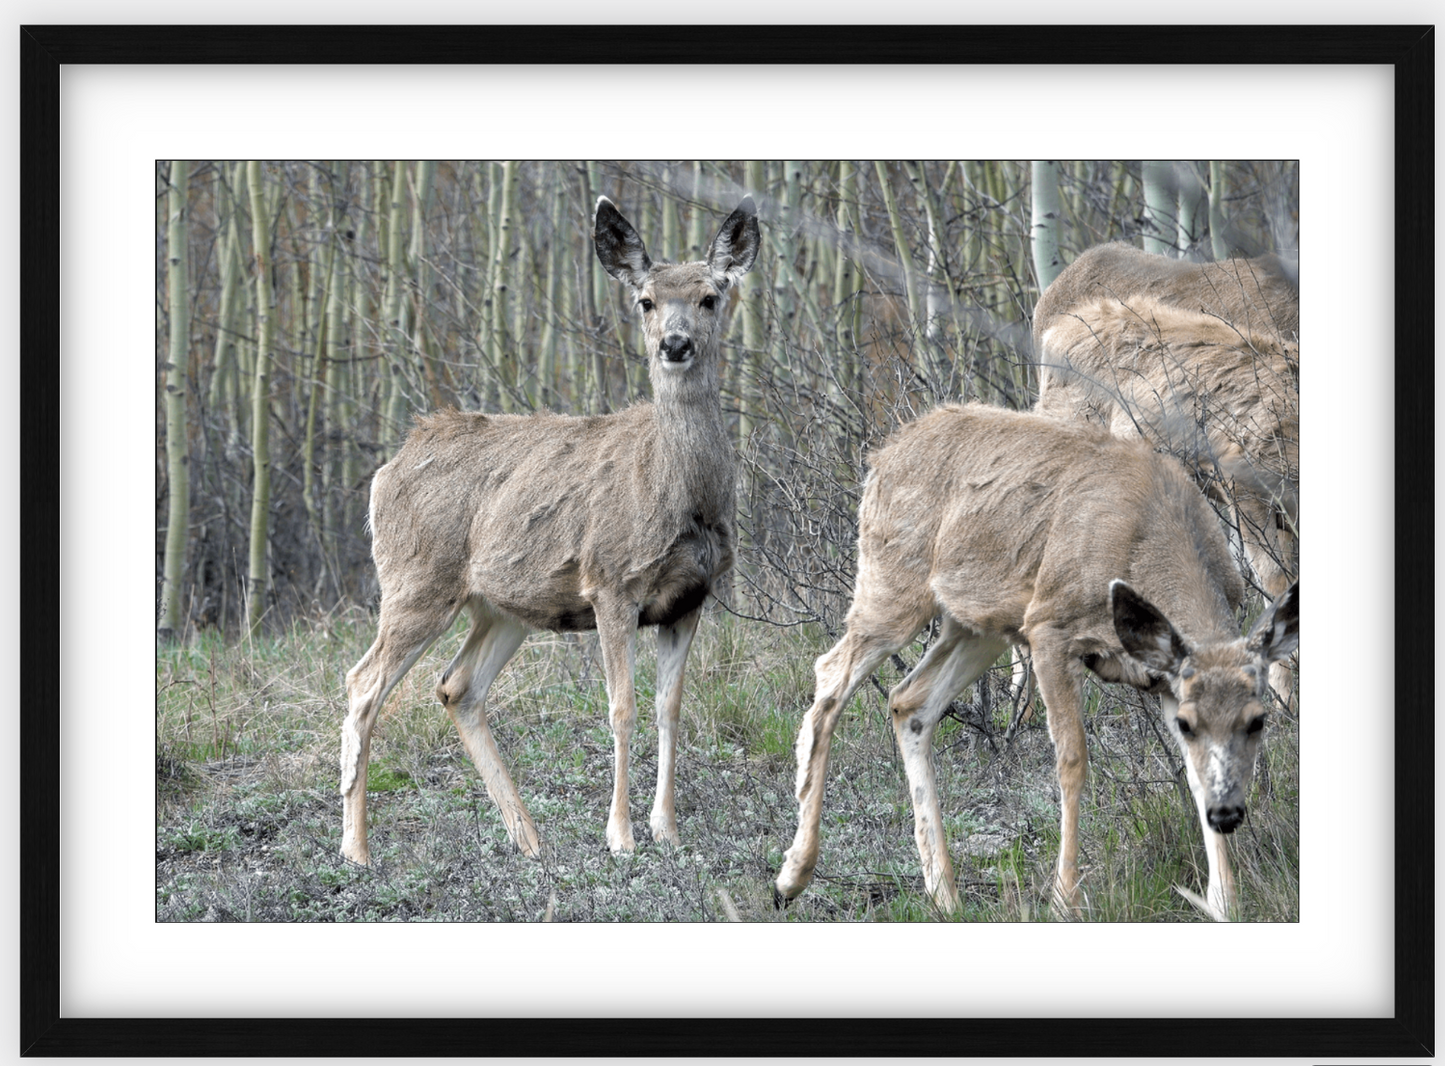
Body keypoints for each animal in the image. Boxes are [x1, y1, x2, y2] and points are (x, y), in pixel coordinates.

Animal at [338, 193, 762, 866]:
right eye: (645, 300)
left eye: (709, 297)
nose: (674, 344)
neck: (679, 495)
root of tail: (385, 473)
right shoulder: (613, 582)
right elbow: (622, 708)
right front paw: (621, 837)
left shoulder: (692, 596)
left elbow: (670, 708)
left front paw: (667, 829)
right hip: (416, 581)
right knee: (363, 683)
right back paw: (356, 849)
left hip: (500, 606)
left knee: (457, 687)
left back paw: (529, 839)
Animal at [774, 401, 1306, 918]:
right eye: (1191, 724)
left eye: (1258, 720)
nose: (1228, 815)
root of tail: (881, 455)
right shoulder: (1051, 628)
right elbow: (1072, 761)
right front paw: (1064, 898)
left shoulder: (1163, 675)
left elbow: (1195, 775)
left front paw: (1224, 900)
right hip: (893, 583)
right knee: (830, 677)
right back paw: (792, 876)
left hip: (978, 622)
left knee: (910, 701)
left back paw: (944, 894)